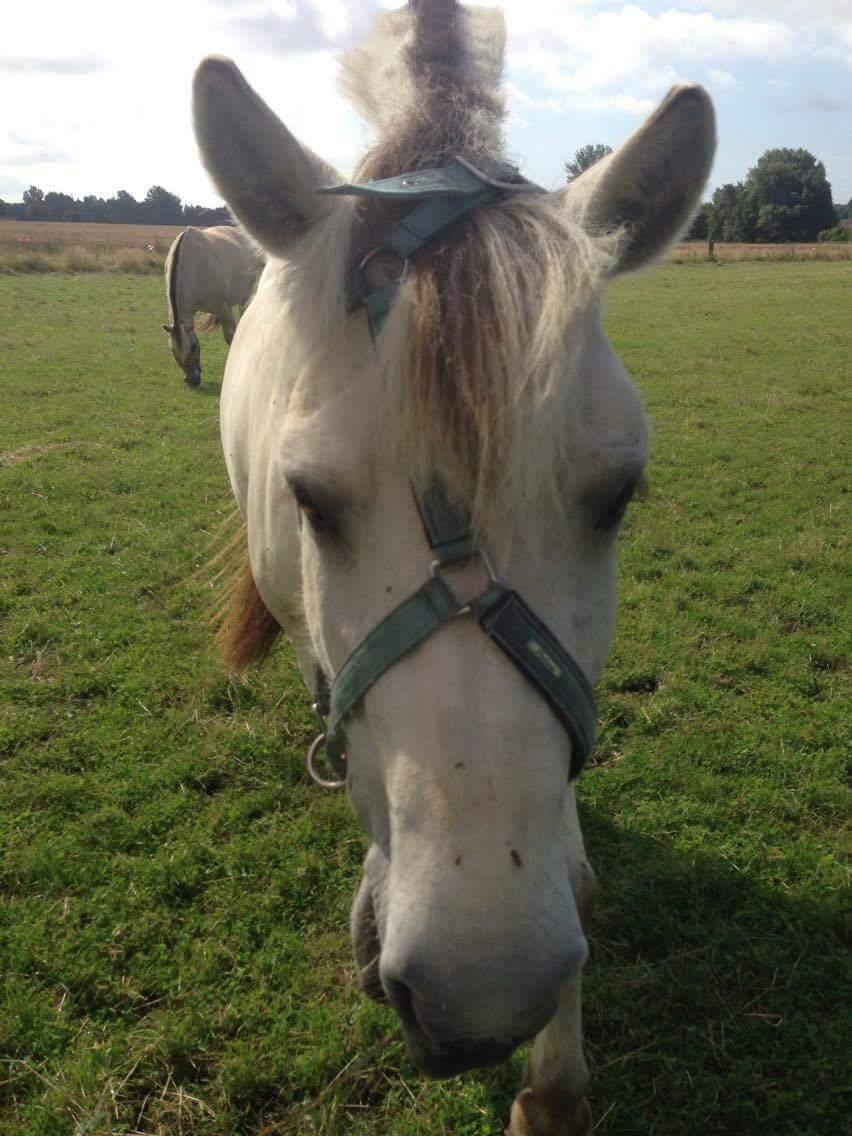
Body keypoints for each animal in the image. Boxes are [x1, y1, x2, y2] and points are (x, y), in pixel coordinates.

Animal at [162, 223, 262, 388]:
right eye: (174, 352)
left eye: (193, 347)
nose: (192, 380)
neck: (194, 265)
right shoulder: (191, 311)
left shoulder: (223, 309)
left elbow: (231, 337)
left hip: (244, 296)